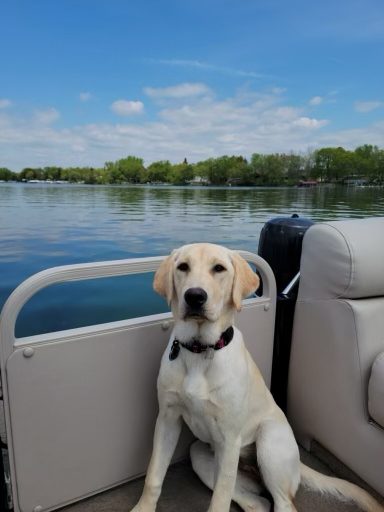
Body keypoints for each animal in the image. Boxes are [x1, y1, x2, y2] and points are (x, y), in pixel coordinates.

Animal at [130, 245, 384, 512]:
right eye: (183, 267)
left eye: (219, 268)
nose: (195, 296)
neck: (201, 349)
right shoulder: (167, 420)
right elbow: (153, 476)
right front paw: (143, 508)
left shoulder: (229, 439)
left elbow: (219, 500)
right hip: (200, 455)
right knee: (258, 503)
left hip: (267, 442)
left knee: (283, 503)